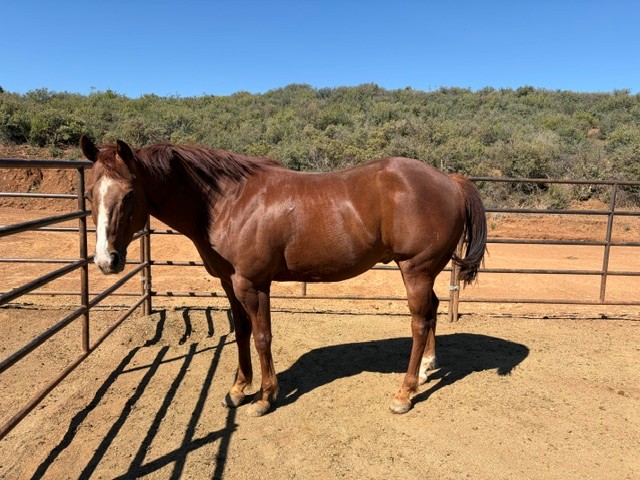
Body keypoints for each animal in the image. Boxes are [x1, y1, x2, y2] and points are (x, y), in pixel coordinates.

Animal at [79, 135, 486, 416]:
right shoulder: (231, 283)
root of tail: (450, 180)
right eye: (90, 193)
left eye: (130, 194)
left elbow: (262, 337)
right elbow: (241, 333)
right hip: (426, 272)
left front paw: (264, 397)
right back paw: (428, 369)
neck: (229, 202)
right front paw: (238, 389)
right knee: (432, 311)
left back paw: (404, 393)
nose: (105, 260)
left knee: (419, 322)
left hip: (415, 269)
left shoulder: (253, 283)